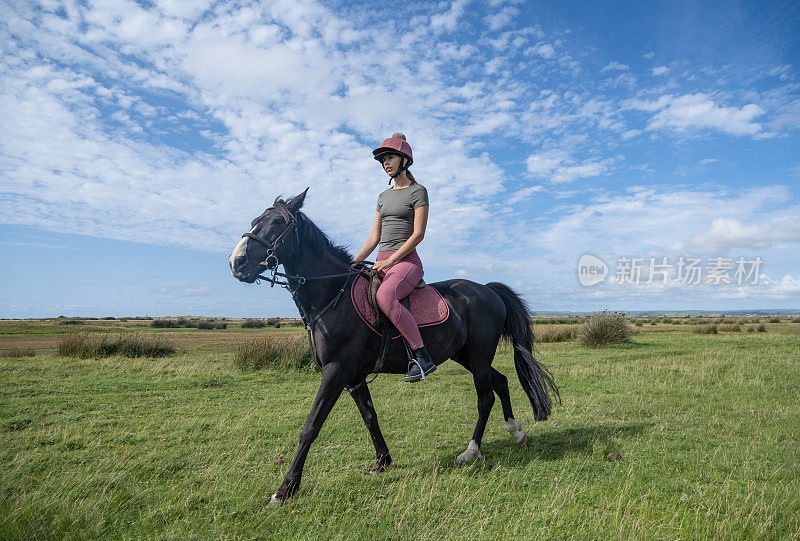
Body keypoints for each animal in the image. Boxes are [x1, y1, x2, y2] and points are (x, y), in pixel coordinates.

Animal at [228, 188, 560, 504]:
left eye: (277, 222)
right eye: (255, 221)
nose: (236, 262)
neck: (334, 295)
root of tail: (487, 290)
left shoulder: (335, 372)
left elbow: (311, 426)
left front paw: (286, 490)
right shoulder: (354, 377)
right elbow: (370, 417)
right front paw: (382, 461)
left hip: (478, 357)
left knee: (485, 398)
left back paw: (472, 451)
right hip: (464, 355)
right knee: (500, 382)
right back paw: (517, 433)